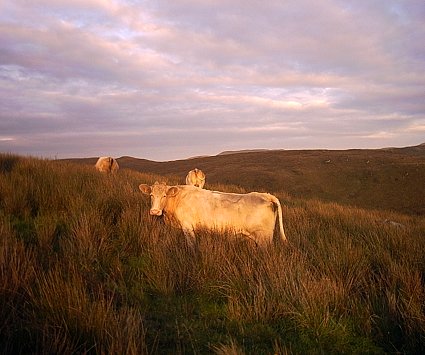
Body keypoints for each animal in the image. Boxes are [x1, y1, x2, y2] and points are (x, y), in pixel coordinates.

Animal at [137, 182, 286, 246]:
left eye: (164, 196)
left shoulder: (188, 227)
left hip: (264, 238)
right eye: (151, 195)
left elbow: (192, 246)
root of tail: (265, 195)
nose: (155, 211)